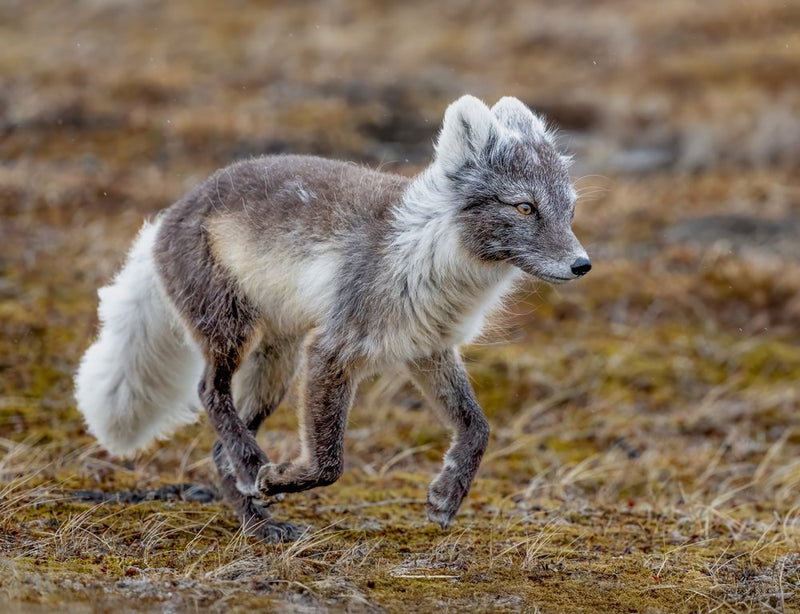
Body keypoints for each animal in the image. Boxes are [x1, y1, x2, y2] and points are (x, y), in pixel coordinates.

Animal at [74, 95, 591, 541]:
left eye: (569, 210)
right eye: (525, 207)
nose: (582, 265)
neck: (429, 254)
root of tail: (167, 216)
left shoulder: (427, 349)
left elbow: (478, 427)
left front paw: (447, 494)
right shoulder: (333, 349)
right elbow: (328, 464)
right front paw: (279, 478)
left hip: (277, 366)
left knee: (218, 451)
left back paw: (257, 522)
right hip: (231, 331)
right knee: (209, 393)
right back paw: (253, 470)